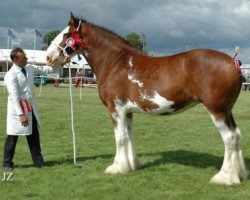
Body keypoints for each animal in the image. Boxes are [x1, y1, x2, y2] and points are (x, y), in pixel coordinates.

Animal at [46, 12, 248, 184]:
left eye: (66, 34)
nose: (48, 57)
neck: (115, 62)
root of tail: (233, 62)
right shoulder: (127, 111)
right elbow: (129, 137)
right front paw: (131, 165)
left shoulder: (115, 108)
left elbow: (119, 138)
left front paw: (116, 168)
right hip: (227, 110)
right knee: (237, 134)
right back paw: (238, 175)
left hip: (217, 110)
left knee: (229, 137)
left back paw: (224, 178)